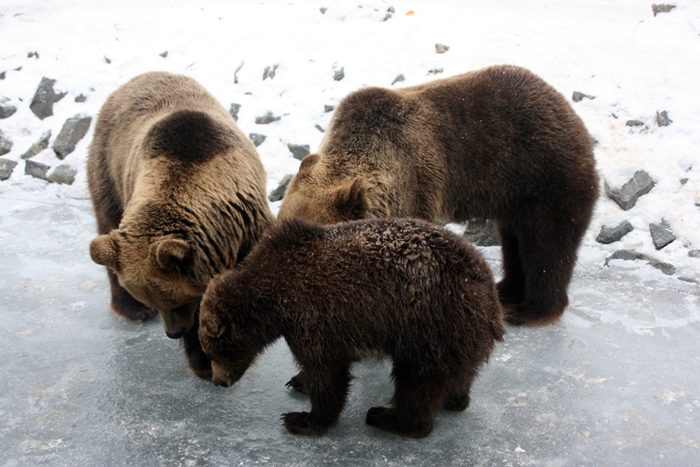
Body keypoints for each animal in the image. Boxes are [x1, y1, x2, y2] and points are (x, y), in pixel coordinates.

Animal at [86, 73, 274, 380]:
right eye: (161, 302)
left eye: (180, 302)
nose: (173, 333)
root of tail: (136, 78)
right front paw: (204, 362)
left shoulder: (249, 225)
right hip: (109, 169)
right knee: (106, 229)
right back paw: (133, 309)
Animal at [197, 218, 504, 438]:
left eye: (213, 352)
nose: (219, 381)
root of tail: (490, 290)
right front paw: (298, 381)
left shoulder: (309, 313)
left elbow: (326, 371)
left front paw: (301, 419)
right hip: (459, 333)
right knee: (457, 373)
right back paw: (454, 399)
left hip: (431, 323)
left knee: (417, 379)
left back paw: (388, 417)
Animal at [278, 64, 600, 328]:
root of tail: (567, 109)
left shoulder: (413, 185)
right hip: (515, 196)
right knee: (514, 240)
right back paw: (506, 290)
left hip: (545, 175)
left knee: (546, 244)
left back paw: (529, 310)